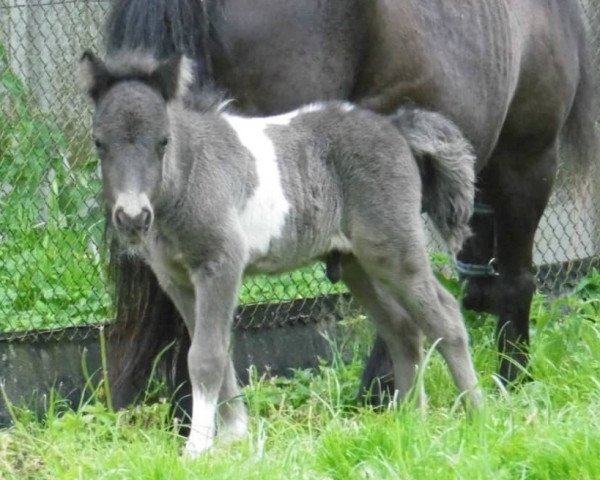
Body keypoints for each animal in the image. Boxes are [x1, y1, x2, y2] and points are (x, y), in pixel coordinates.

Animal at [82, 52, 480, 458]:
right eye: (99, 143)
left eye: (163, 141)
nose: (133, 217)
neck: (190, 172)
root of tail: (396, 127)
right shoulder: (176, 280)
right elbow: (215, 350)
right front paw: (233, 435)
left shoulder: (221, 264)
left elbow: (206, 357)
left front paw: (198, 448)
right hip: (358, 265)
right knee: (402, 329)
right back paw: (410, 419)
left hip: (395, 251)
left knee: (446, 316)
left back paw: (477, 413)